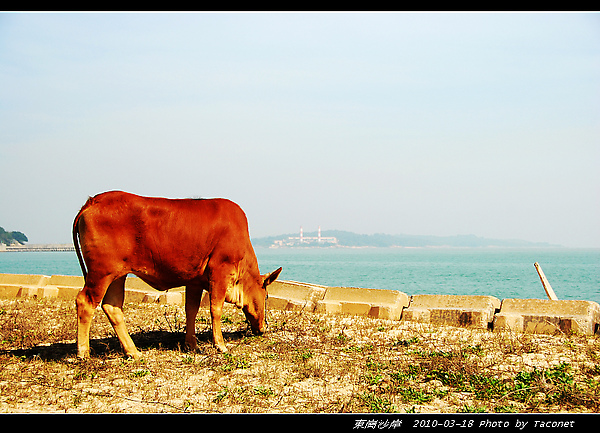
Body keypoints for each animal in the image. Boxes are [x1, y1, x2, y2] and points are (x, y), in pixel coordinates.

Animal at [71, 192, 282, 358]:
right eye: (266, 296)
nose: (263, 328)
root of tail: (94, 200)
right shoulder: (220, 271)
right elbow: (215, 309)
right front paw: (220, 345)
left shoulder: (195, 281)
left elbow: (191, 310)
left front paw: (192, 344)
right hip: (101, 273)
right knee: (85, 301)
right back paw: (83, 352)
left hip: (116, 275)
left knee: (112, 306)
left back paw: (133, 351)